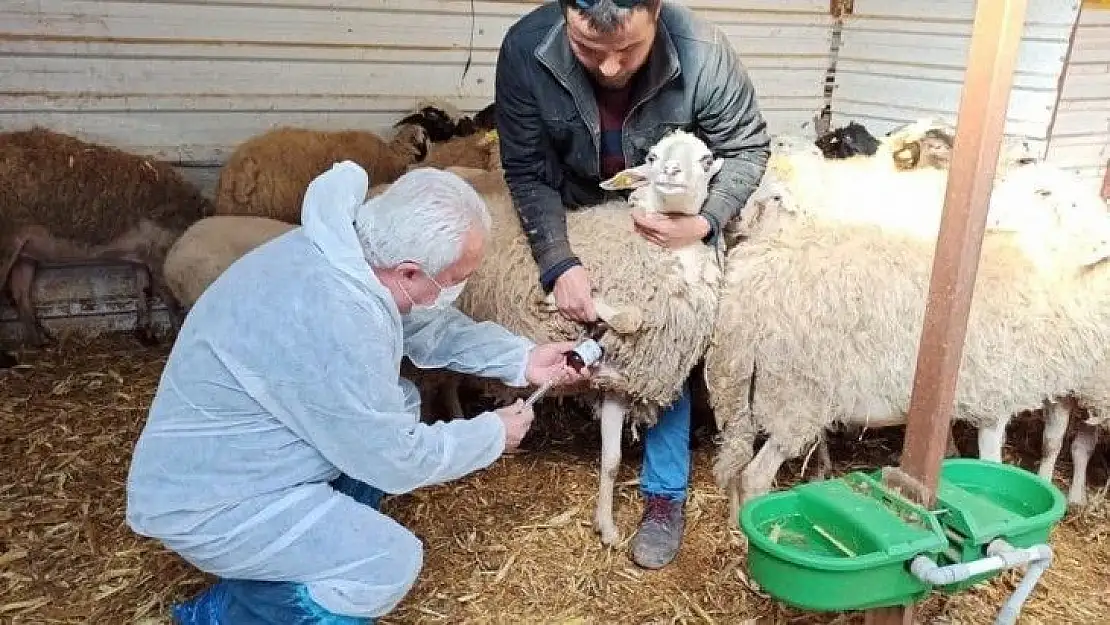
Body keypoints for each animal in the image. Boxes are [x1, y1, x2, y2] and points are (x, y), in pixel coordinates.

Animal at [0, 124, 212, 344]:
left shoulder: (141, 256)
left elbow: (143, 288)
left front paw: (146, 335)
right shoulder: (160, 255)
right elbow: (170, 299)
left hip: (25, 252)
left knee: (20, 292)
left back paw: (43, 342)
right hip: (6, 241)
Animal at [701, 168, 1110, 526]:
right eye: (1047, 194)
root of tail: (750, 286)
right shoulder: (996, 392)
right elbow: (993, 461)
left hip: (741, 387)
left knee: (736, 466)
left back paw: (735, 525)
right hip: (795, 394)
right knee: (753, 476)